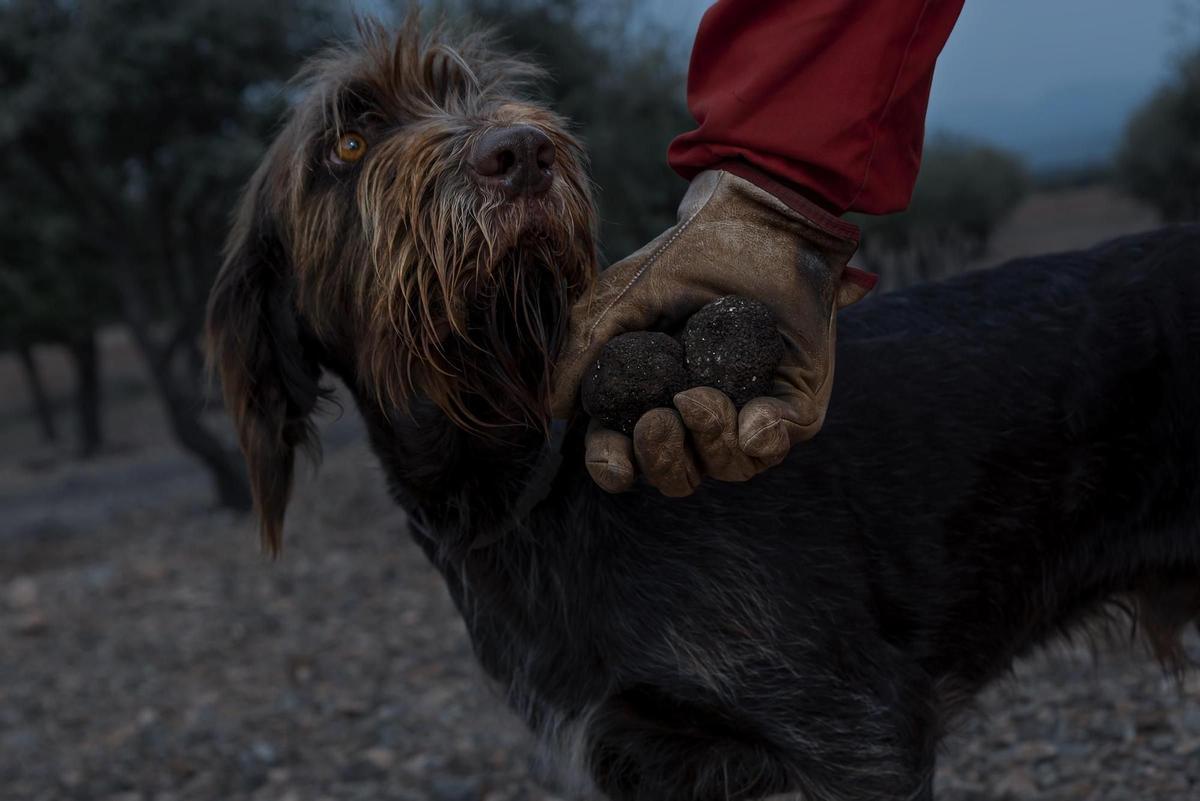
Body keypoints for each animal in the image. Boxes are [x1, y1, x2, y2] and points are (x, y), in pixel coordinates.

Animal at [206, 17, 1200, 801]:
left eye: (477, 92)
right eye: (347, 145)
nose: (520, 153)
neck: (524, 482)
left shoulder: (857, 726)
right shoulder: (648, 760)